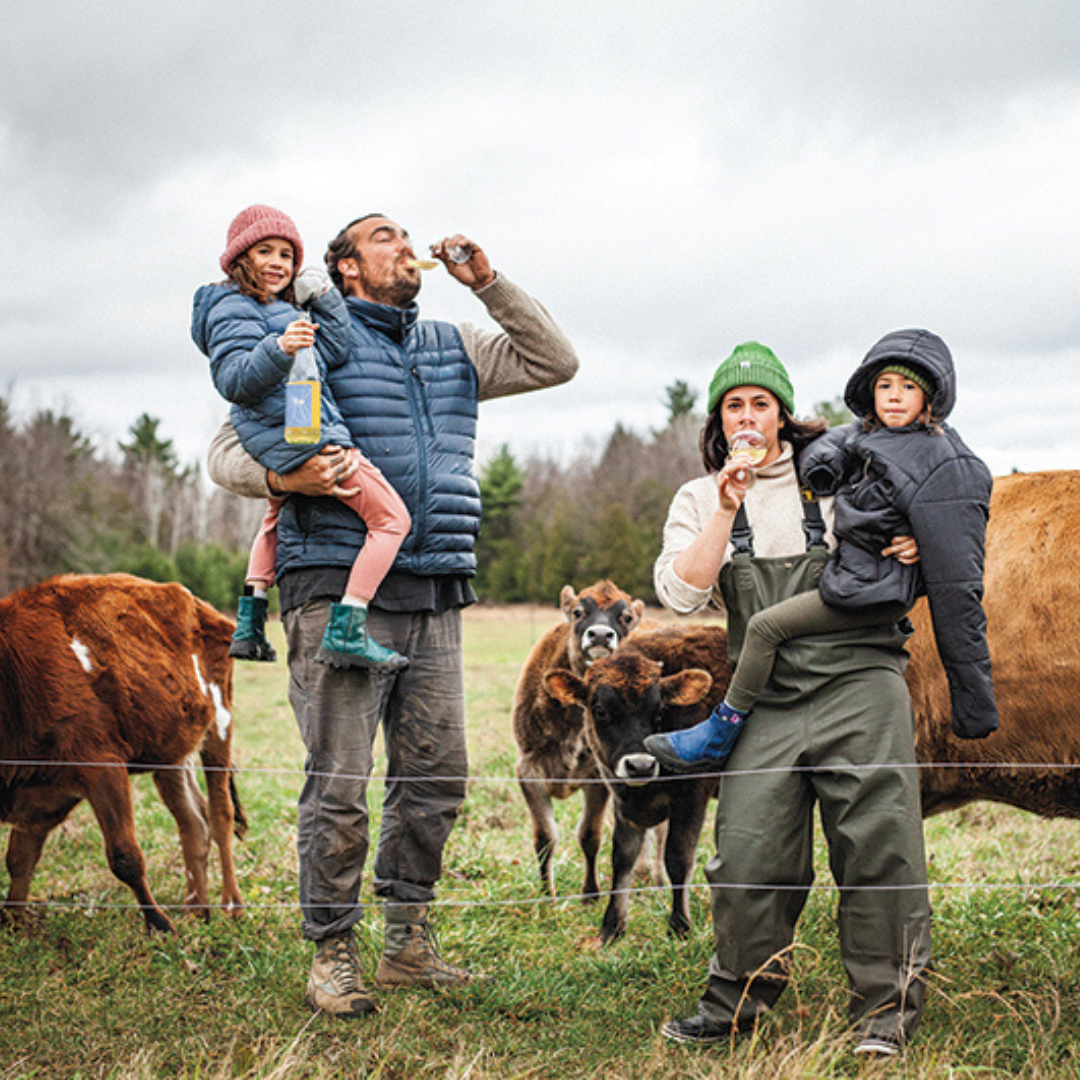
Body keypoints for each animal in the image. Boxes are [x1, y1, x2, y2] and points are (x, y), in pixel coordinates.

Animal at [0, 574, 247, 928]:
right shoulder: (41, 788)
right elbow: (20, 859)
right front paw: (14, 923)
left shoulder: (101, 763)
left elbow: (125, 856)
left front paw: (159, 925)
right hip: (172, 748)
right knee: (193, 820)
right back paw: (195, 909)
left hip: (219, 724)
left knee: (220, 813)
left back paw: (231, 905)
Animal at [509, 583, 643, 894]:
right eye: (578, 612)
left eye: (626, 617)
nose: (601, 634)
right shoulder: (528, 770)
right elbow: (545, 838)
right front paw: (546, 895)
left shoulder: (599, 777)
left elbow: (589, 836)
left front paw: (590, 894)